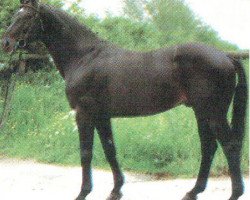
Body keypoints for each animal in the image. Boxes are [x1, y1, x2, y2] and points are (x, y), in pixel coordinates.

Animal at [1, 0, 248, 200]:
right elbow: (110, 149)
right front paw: (116, 190)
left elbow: (86, 153)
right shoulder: (102, 115)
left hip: (213, 112)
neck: (84, 57)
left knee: (229, 146)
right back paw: (193, 191)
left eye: (27, 17)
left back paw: (234, 193)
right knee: (209, 147)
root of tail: (226, 56)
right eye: (16, 15)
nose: (6, 43)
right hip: (201, 112)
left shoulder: (84, 114)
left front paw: (83, 192)